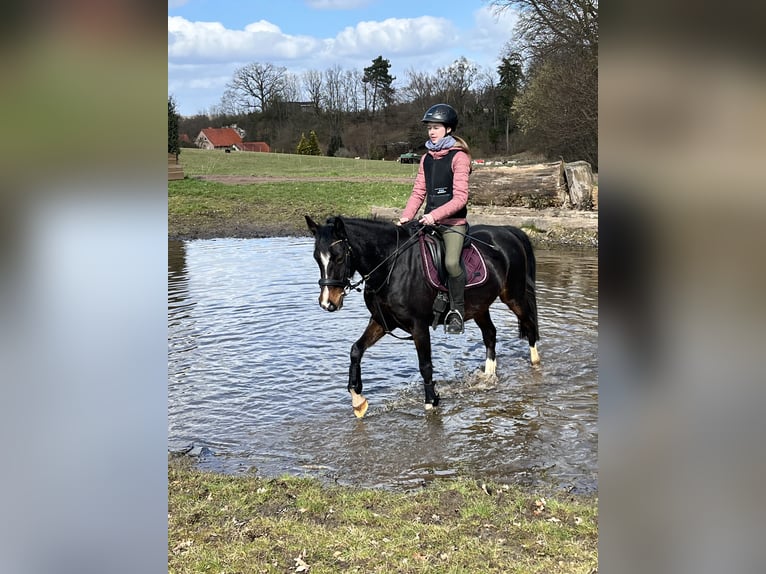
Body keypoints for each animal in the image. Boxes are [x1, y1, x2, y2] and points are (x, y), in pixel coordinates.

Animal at [305, 215, 540, 418]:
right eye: (316, 258)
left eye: (339, 257)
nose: (328, 302)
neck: (391, 266)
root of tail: (508, 231)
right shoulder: (381, 322)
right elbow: (356, 350)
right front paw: (358, 401)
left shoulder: (419, 327)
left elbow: (425, 365)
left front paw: (430, 402)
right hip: (480, 307)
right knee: (490, 334)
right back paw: (488, 376)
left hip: (513, 296)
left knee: (529, 324)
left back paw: (536, 364)